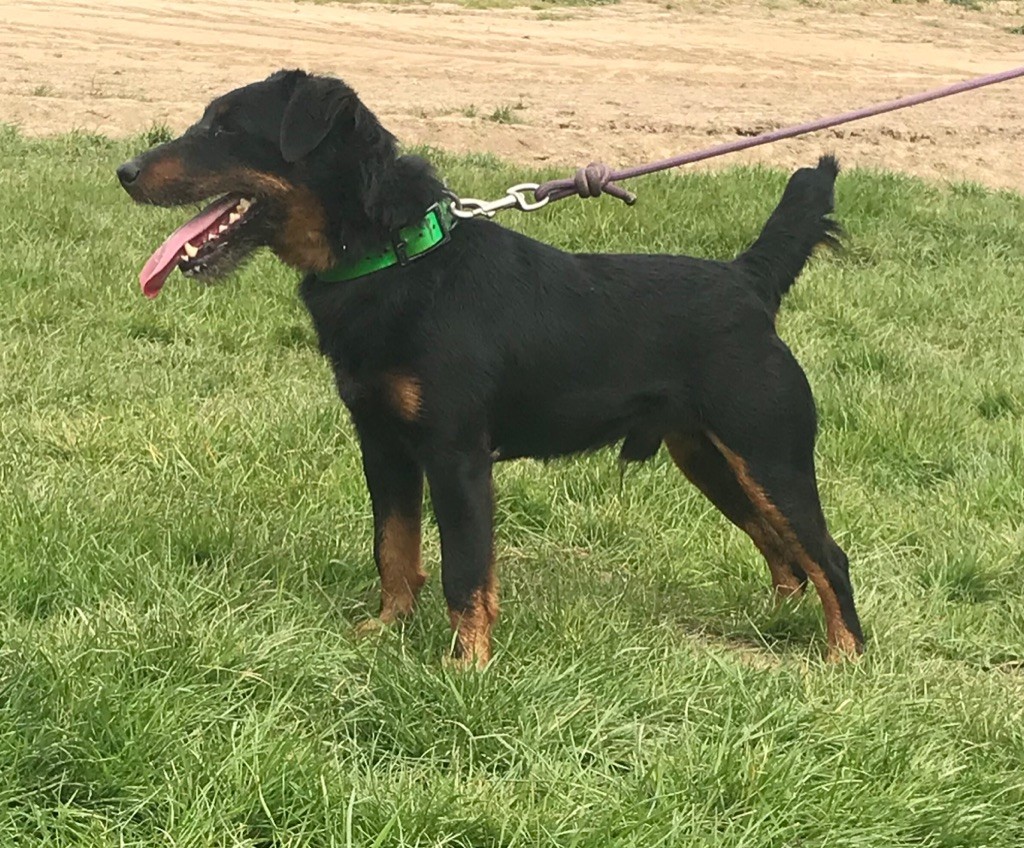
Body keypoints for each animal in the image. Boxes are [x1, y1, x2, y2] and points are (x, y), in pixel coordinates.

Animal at [117, 69, 863, 666]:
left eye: (225, 128)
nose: (125, 172)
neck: (399, 260)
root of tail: (749, 282)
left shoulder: (456, 458)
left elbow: (465, 571)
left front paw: (466, 667)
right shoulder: (383, 446)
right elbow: (395, 551)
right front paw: (384, 633)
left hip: (768, 455)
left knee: (827, 557)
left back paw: (842, 664)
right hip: (710, 457)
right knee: (786, 556)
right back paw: (776, 629)